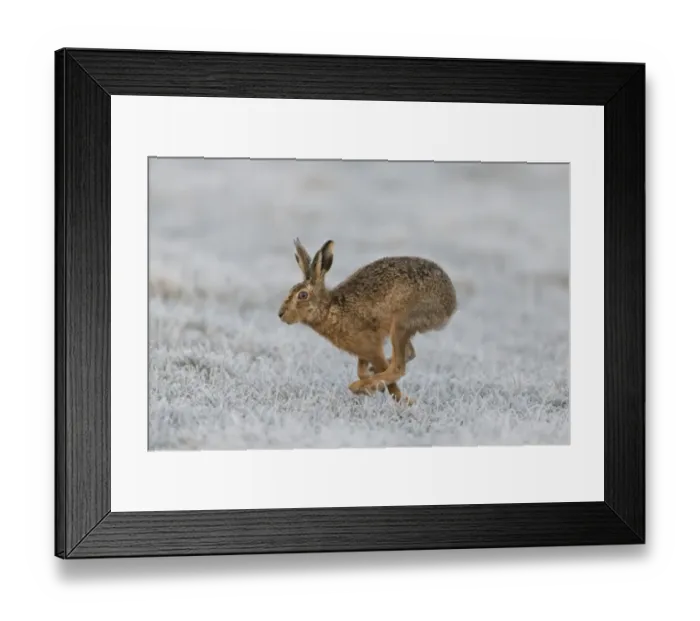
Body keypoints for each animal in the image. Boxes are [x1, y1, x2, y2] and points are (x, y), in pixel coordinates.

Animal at [278, 238, 457, 404]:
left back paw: (363, 388)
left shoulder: (371, 347)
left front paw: (392, 395)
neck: (329, 309)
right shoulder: (363, 351)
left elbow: (386, 374)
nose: (281, 314)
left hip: (401, 324)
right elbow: (362, 370)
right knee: (408, 354)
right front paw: (372, 382)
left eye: (302, 295)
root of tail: (450, 302)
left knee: (398, 367)